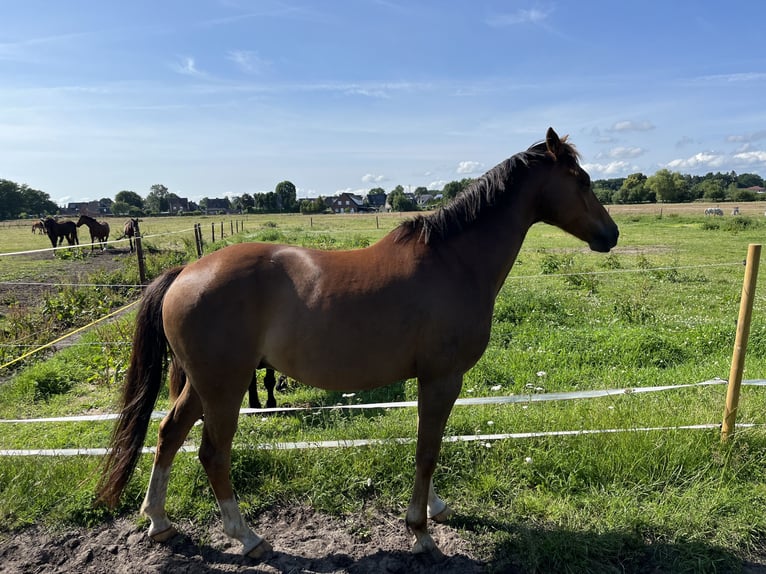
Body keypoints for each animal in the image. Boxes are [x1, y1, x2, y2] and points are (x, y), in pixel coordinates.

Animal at [96, 128, 619, 559]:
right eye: (582, 179)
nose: (611, 234)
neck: (454, 261)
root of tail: (186, 270)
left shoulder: (433, 382)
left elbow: (429, 446)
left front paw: (435, 507)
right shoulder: (442, 379)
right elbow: (428, 450)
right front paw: (421, 531)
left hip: (202, 386)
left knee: (168, 435)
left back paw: (159, 522)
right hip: (224, 388)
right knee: (212, 454)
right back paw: (246, 537)